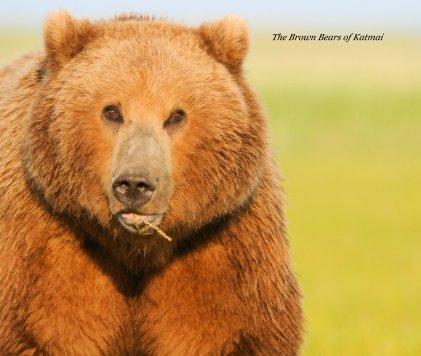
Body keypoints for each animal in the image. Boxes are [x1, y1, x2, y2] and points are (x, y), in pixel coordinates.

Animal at [0, 11, 302, 356]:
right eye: (112, 111)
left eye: (176, 115)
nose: (134, 183)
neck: (136, 250)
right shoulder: (42, 248)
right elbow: (41, 331)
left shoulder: (224, 247)